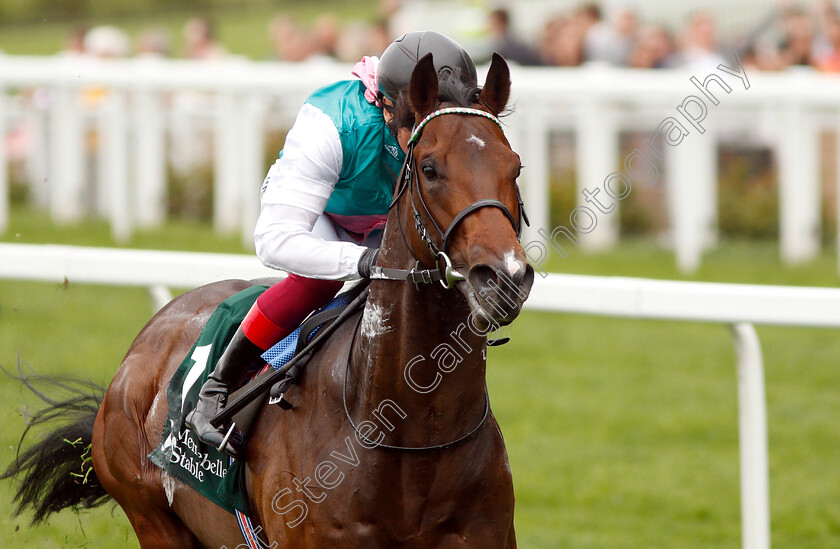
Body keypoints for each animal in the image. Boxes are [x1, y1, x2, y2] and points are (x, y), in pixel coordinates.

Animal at [3, 52, 536, 548]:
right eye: (429, 168)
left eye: (516, 167)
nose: (504, 277)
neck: (410, 438)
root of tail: (141, 349)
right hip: (151, 517)